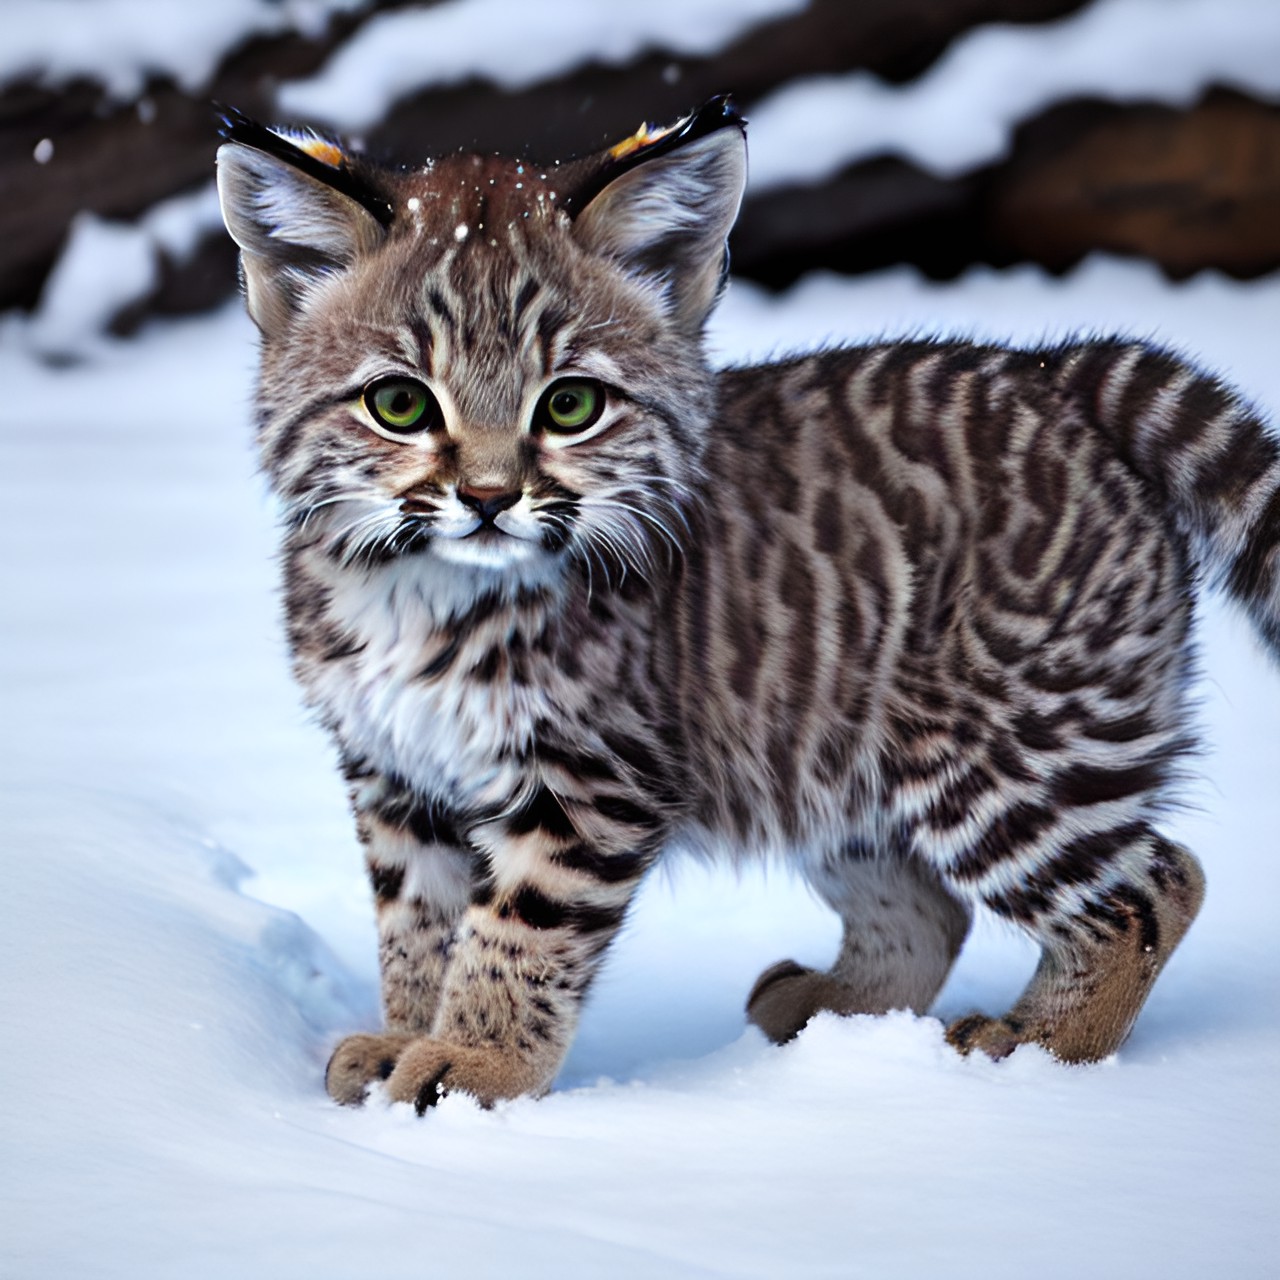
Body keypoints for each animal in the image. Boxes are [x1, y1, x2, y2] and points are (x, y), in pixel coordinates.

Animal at [220, 99, 1280, 1105]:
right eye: (399, 405)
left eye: (570, 406)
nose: (487, 498)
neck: (420, 582)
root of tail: (1063, 375)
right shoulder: (396, 771)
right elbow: (419, 921)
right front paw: (403, 1038)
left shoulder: (588, 776)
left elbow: (518, 931)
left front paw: (473, 1069)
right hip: (831, 749)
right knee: (938, 905)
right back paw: (841, 1018)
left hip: (1001, 748)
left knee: (1151, 890)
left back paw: (1042, 1055)